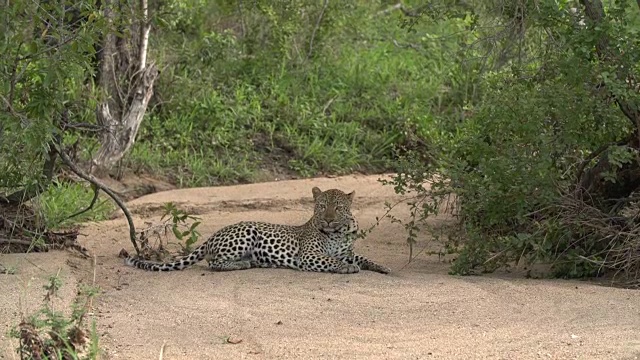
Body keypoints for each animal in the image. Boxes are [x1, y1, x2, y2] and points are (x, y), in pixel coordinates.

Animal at [122, 187, 388, 274]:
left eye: (338, 207)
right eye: (322, 206)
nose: (329, 220)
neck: (339, 233)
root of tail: (212, 236)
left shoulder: (347, 251)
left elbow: (362, 257)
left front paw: (381, 267)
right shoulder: (309, 255)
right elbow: (331, 260)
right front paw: (346, 268)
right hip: (247, 232)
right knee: (213, 263)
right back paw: (243, 263)